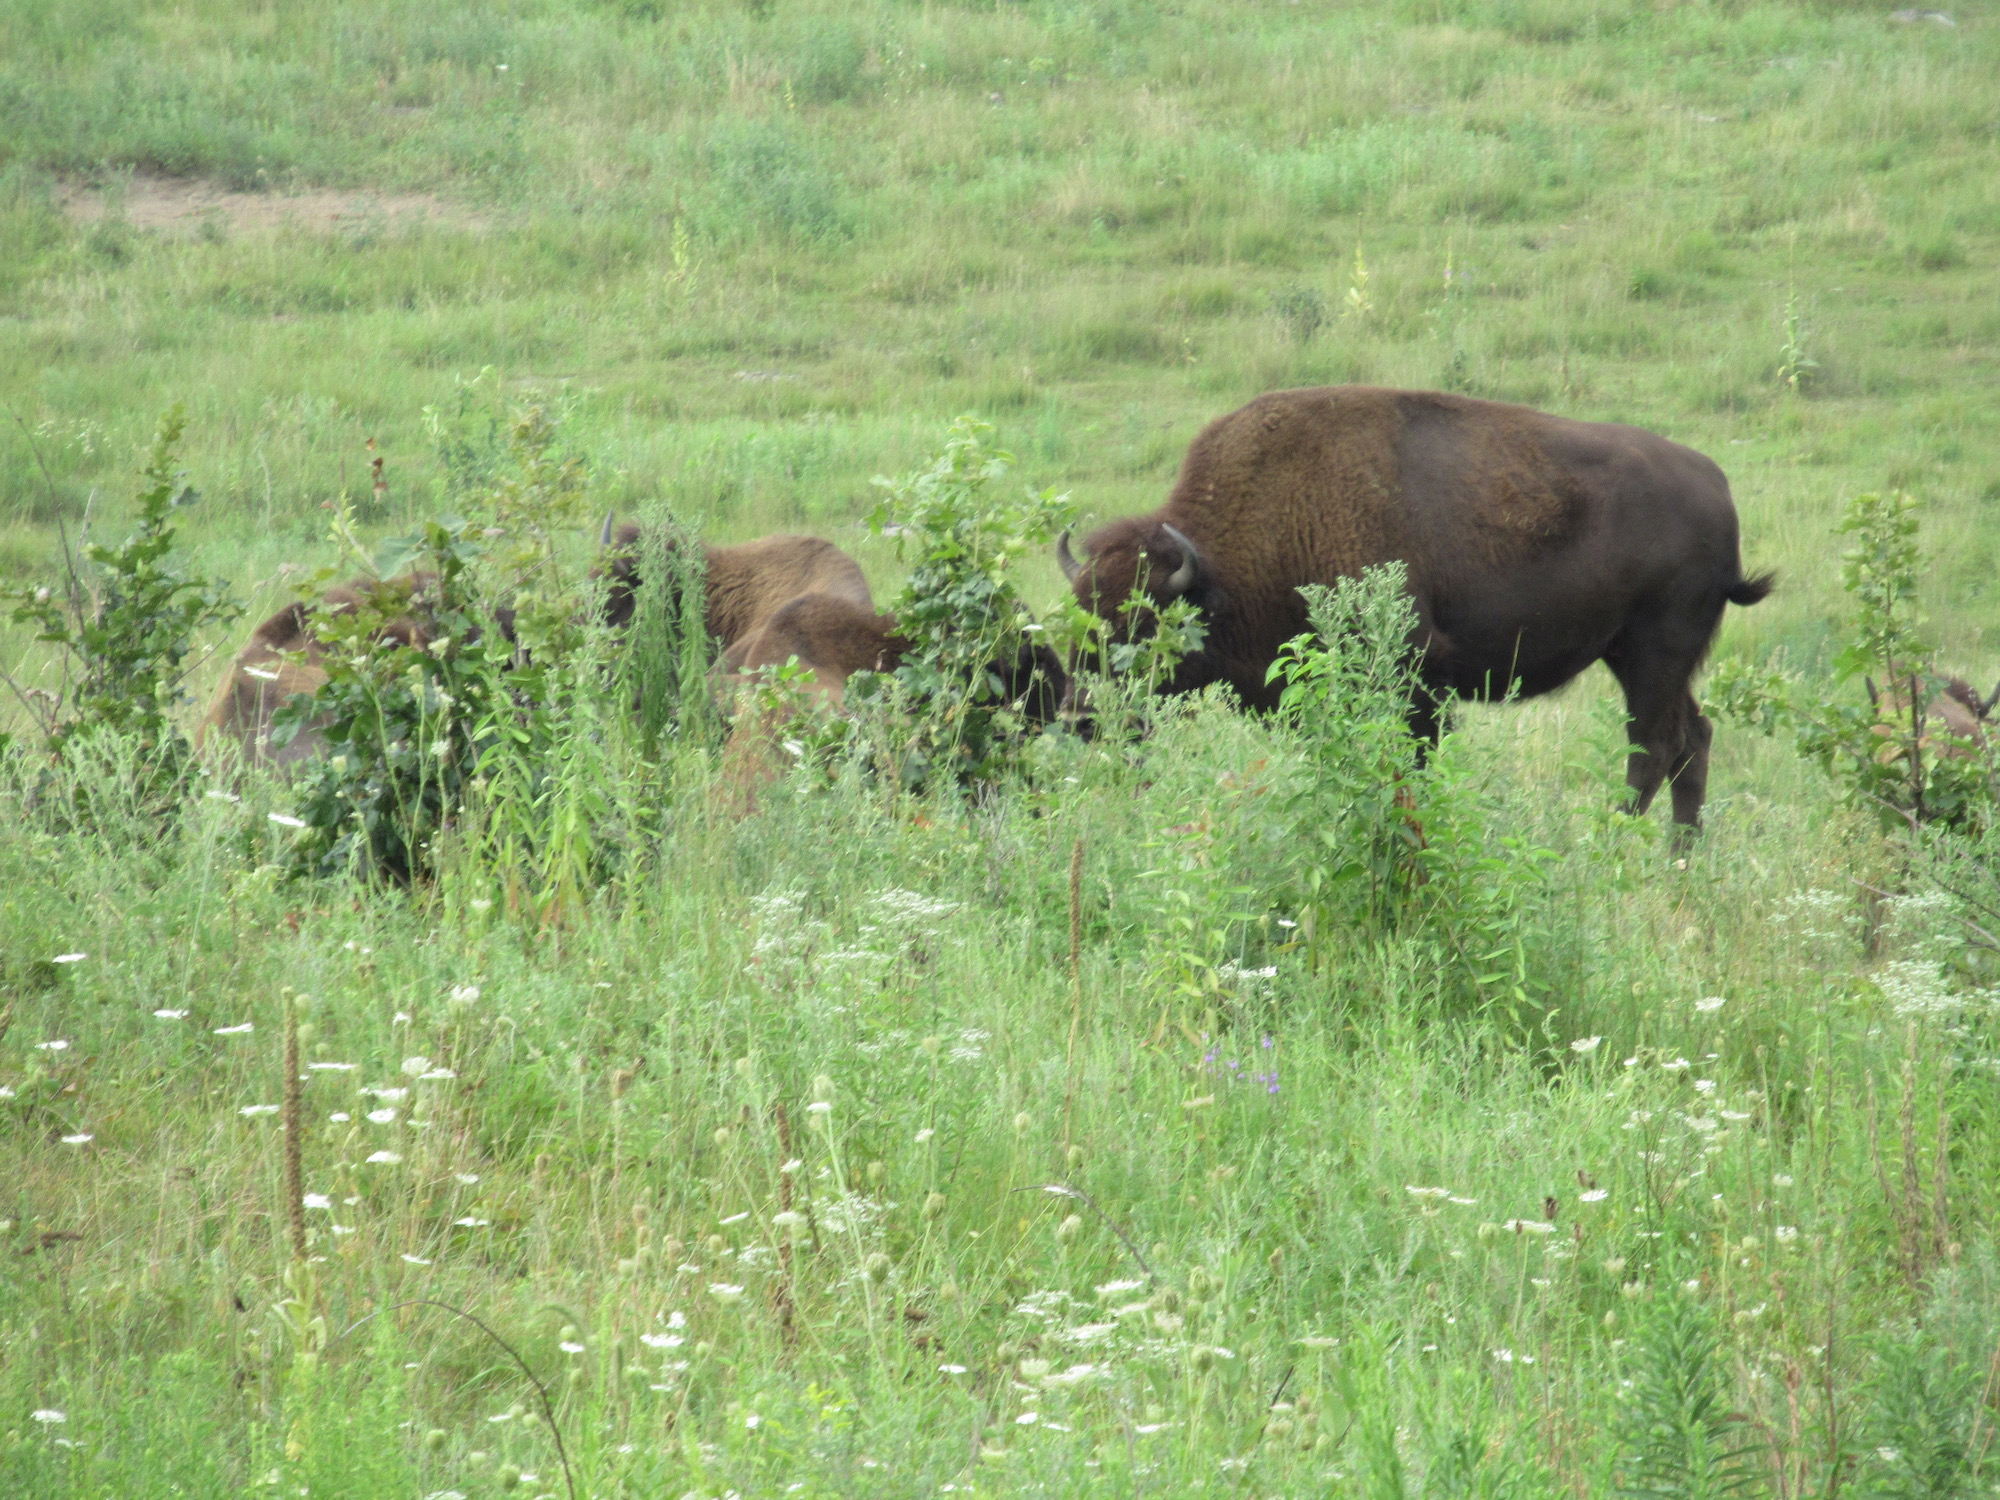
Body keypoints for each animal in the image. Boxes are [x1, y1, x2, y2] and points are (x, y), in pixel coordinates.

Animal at [1057, 386, 1771, 831]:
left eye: (1146, 625)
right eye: (1080, 624)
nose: (1087, 715)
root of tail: (1718, 488)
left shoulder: (1415, 679)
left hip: (1655, 653)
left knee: (1655, 745)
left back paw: (1613, 842)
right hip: (1636, 656)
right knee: (1691, 740)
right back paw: (1680, 856)